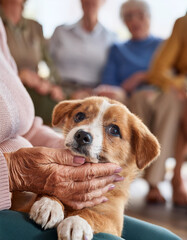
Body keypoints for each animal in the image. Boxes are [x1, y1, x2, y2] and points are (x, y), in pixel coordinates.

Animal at [14, 97, 160, 240]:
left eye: (114, 130)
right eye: (80, 116)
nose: (82, 136)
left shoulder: (113, 222)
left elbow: (92, 213)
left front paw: (76, 222)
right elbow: (51, 189)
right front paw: (49, 204)